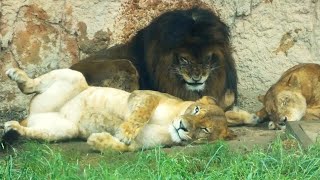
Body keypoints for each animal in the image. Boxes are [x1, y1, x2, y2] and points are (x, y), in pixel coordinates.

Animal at [3, 68, 256, 152]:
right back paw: (16, 75)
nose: (183, 126)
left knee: (29, 130)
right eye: (195, 109)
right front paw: (125, 131)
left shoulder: (144, 146)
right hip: (74, 76)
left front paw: (100, 141)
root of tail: (32, 115)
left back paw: (11, 128)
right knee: (29, 86)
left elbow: (124, 148)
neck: (169, 124)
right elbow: (141, 113)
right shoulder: (145, 94)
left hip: (63, 130)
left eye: (205, 130)